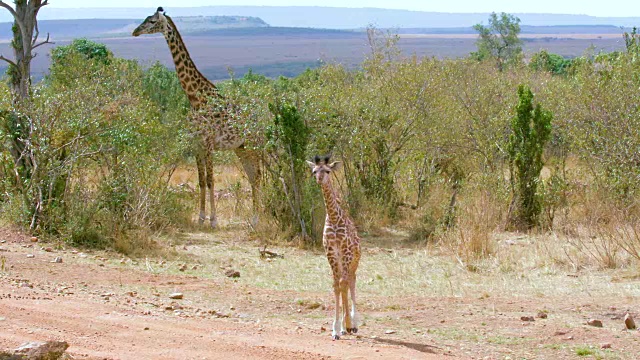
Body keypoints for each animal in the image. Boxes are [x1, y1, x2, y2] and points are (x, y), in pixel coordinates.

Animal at [132, 6, 260, 228]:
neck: (195, 98)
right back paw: (254, 219)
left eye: (151, 21)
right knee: (253, 177)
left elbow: (210, 180)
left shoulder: (208, 144)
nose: (135, 31)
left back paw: (259, 217)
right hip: (241, 147)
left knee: (259, 176)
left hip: (254, 145)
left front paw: (214, 220)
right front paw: (201, 218)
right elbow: (201, 181)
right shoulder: (197, 144)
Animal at [308, 155, 362, 340]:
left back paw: (353, 324)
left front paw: (347, 325)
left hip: (354, 261)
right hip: (340, 260)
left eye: (328, 171)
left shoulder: (345, 251)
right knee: (344, 283)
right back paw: (346, 327)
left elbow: (343, 284)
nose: (319, 179)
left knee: (351, 281)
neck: (333, 216)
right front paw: (336, 329)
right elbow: (336, 286)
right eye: (314, 171)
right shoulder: (331, 252)